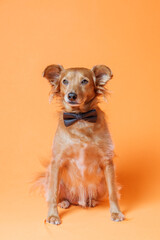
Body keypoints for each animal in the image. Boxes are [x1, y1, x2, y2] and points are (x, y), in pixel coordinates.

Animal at [39, 64, 124, 225]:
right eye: (65, 81)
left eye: (84, 81)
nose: (71, 95)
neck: (80, 118)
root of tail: (78, 201)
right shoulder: (57, 162)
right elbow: (53, 194)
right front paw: (53, 215)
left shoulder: (107, 161)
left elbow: (113, 193)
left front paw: (116, 212)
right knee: (59, 194)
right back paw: (64, 202)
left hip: (101, 182)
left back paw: (91, 201)